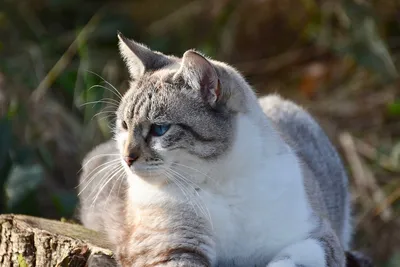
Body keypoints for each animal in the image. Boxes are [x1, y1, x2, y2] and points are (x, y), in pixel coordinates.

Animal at [76, 32, 368, 266]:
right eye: (124, 125)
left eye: (160, 129)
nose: (127, 158)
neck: (222, 182)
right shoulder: (172, 248)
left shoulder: (318, 237)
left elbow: (285, 261)